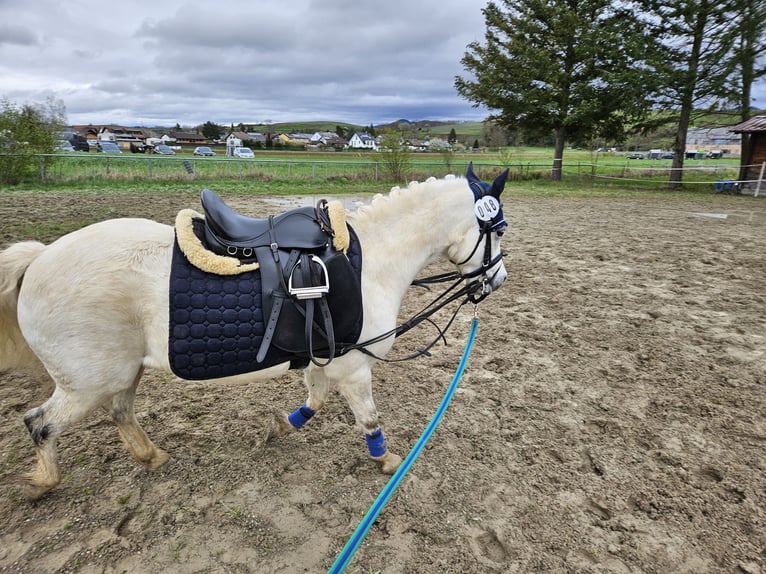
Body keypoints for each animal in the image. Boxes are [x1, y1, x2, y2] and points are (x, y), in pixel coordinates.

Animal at [0, 165, 510, 500]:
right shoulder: (354, 367)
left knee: (121, 414)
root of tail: (40, 258)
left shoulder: (324, 359)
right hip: (87, 384)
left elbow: (313, 400)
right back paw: (43, 483)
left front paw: (280, 426)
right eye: (499, 229)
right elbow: (368, 419)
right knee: (40, 424)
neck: (372, 261)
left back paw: (152, 458)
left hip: (122, 374)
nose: (497, 280)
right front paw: (385, 460)